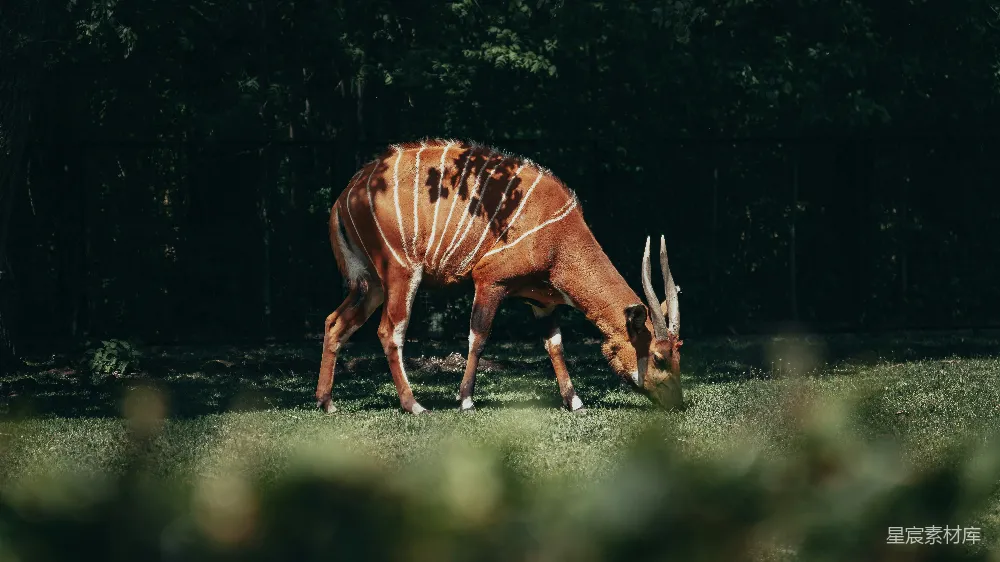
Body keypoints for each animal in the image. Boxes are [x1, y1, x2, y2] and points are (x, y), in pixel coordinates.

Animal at [316, 139, 683, 415]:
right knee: (389, 331)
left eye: (680, 353)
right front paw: (465, 400)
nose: (678, 404)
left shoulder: (542, 302)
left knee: (334, 322)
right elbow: (478, 337)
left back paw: (327, 402)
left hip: (371, 284)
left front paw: (574, 401)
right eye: (659, 357)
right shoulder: (489, 282)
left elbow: (555, 345)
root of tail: (346, 195)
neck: (559, 235)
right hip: (400, 272)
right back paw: (414, 405)